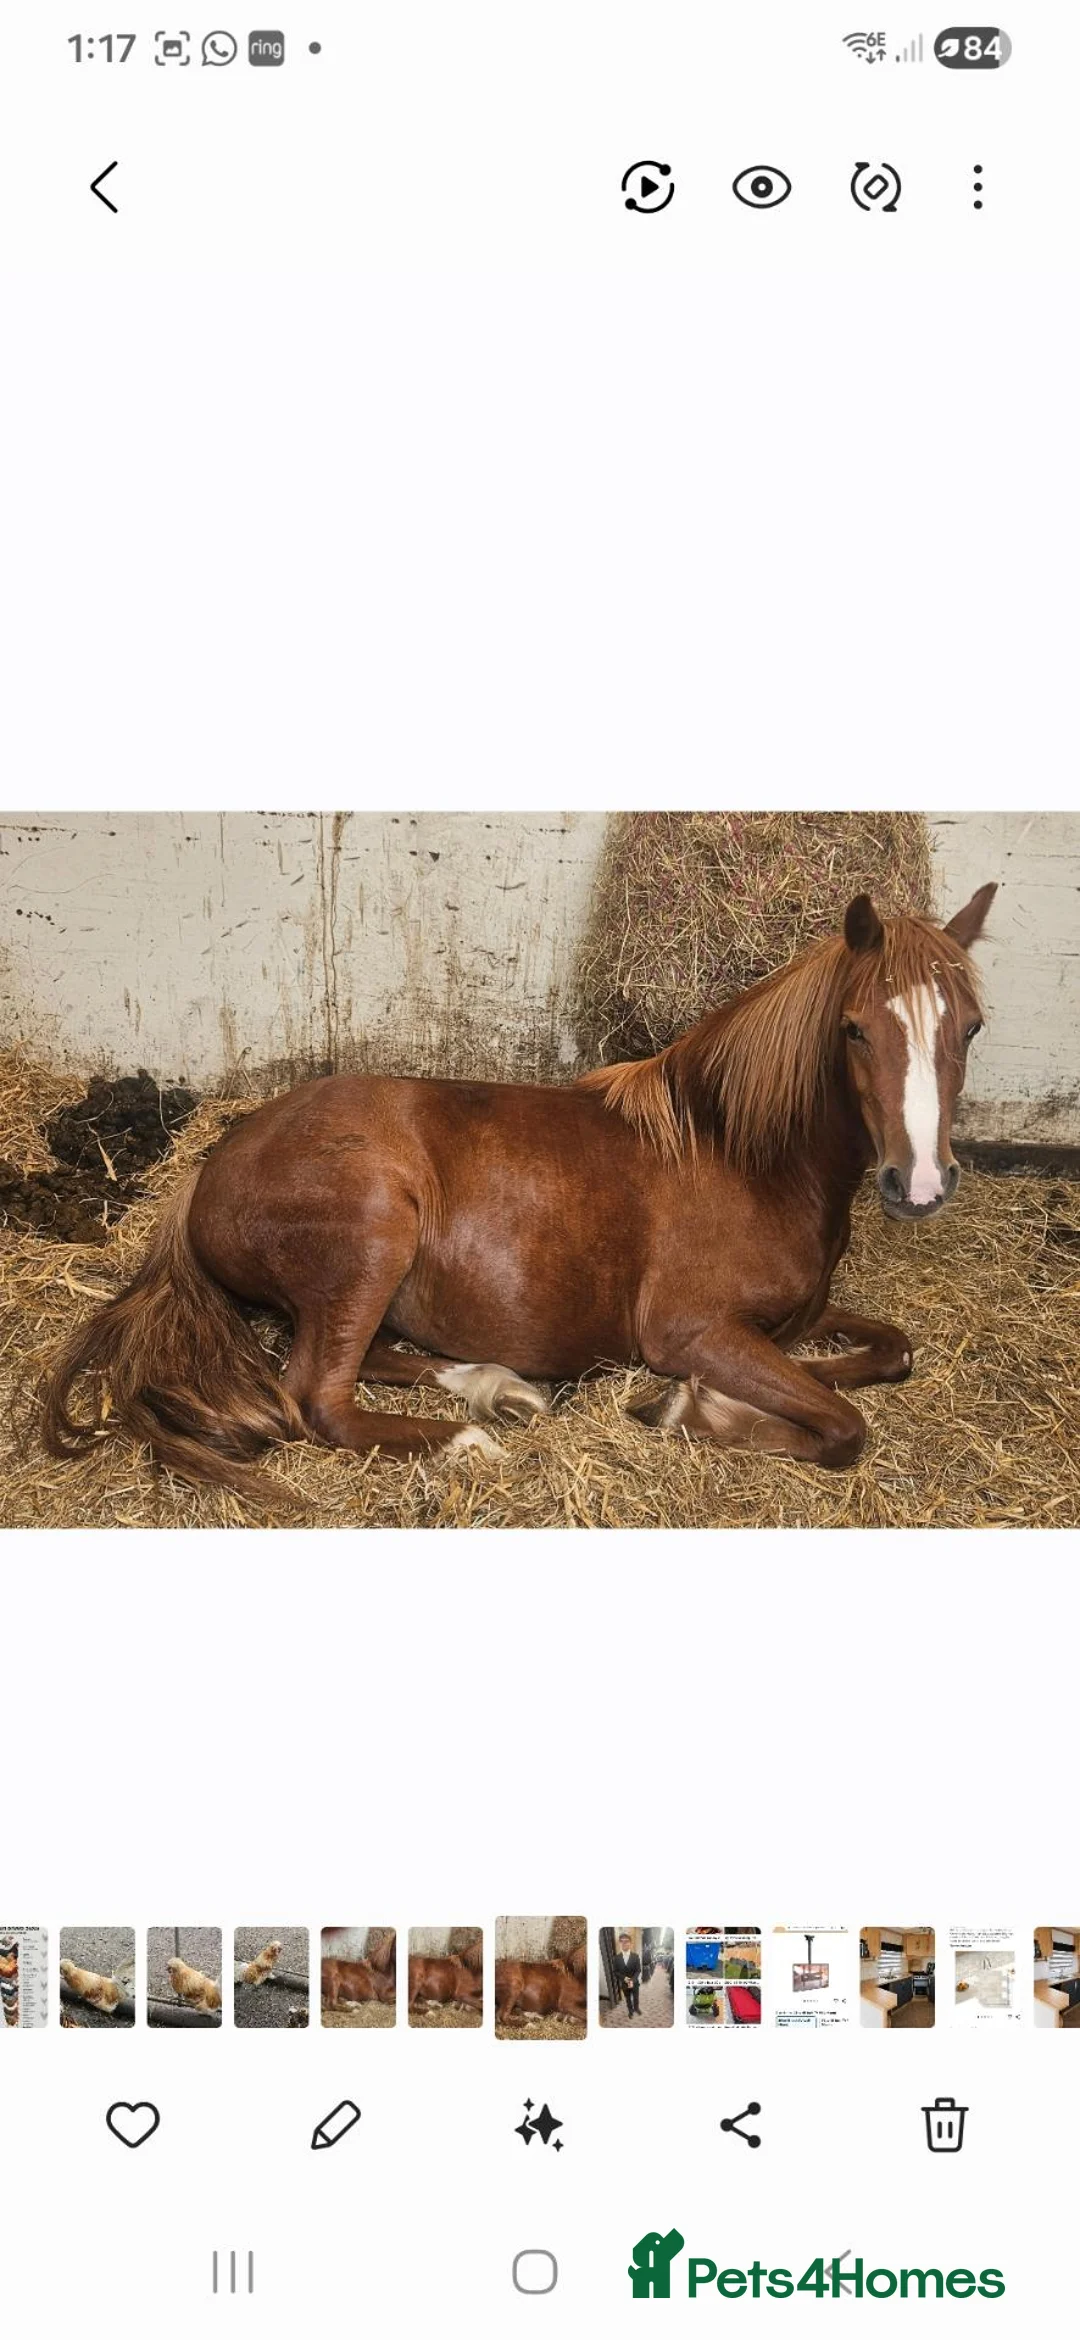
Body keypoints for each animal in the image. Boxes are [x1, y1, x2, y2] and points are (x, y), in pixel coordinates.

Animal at [38, 882, 995, 1486]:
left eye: (972, 1028)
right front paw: (692, 1413)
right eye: (855, 1029)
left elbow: (890, 1354)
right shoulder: (694, 1332)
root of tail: (209, 1171)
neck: (742, 1156)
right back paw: (468, 1442)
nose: (918, 1184)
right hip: (376, 1235)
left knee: (365, 1357)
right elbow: (841, 1425)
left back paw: (495, 1387)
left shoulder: (795, 1321)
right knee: (315, 1395)